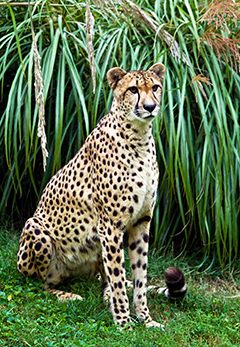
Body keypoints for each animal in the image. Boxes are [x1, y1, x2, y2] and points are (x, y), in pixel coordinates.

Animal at [17, 64, 187, 328]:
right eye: (133, 90)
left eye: (156, 87)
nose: (150, 107)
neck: (139, 137)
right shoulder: (111, 226)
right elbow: (118, 276)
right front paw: (124, 322)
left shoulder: (141, 221)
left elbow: (139, 275)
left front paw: (146, 319)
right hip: (34, 227)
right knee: (43, 283)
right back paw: (66, 294)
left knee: (104, 280)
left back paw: (105, 295)